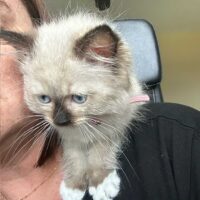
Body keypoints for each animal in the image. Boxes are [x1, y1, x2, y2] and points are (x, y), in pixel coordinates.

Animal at [0, 12, 147, 200]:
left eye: (79, 98)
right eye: (44, 99)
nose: (60, 121)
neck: (86, 125)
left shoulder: (116, 122)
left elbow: (100, 150)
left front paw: (101, 183)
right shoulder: (68, 137)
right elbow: (74, 157)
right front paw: (74, 186)